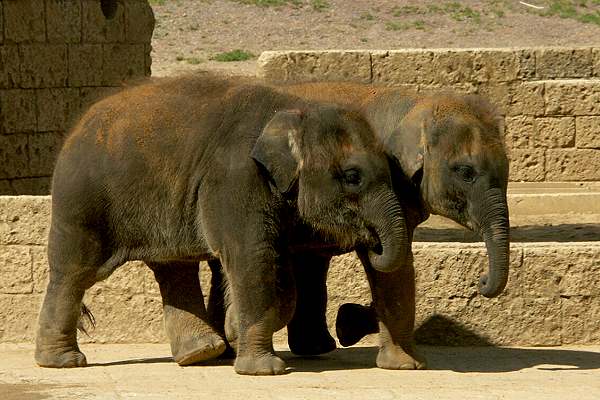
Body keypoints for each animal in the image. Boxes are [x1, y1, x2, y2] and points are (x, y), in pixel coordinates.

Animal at [35, 74, 410, 376]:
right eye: (352, 177)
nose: (372, 243)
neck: (295, 108)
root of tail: (77, 126)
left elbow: (281, 267)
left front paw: (232, 328)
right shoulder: (235, 179)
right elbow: (252, 256)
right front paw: (263, 369)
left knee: (173, 266)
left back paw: (201, 353)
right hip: (80, 201)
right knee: (75, 270)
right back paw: (64, 363)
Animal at [170, 82, 510, 372]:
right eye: (465, 172)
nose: (480, 281)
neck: (414, 102)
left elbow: (399, 266)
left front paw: (386, 351)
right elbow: (389, 267)